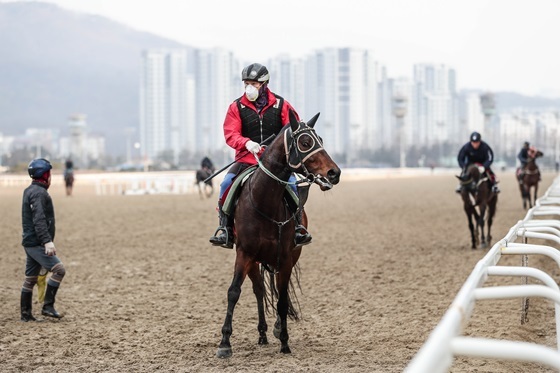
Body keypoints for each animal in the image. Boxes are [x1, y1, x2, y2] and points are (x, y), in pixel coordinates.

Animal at [217, 111, 342, 358]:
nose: (334, 173)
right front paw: (225, 343)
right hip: (254, 259)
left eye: (321, 140)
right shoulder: (244, 253)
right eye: (305, 142)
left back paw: (273, 329)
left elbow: (283, 300)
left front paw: (284, 340)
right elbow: (234, 292)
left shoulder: (284, 257)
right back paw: (262, 333)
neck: (264, 201)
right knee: (259, 290)